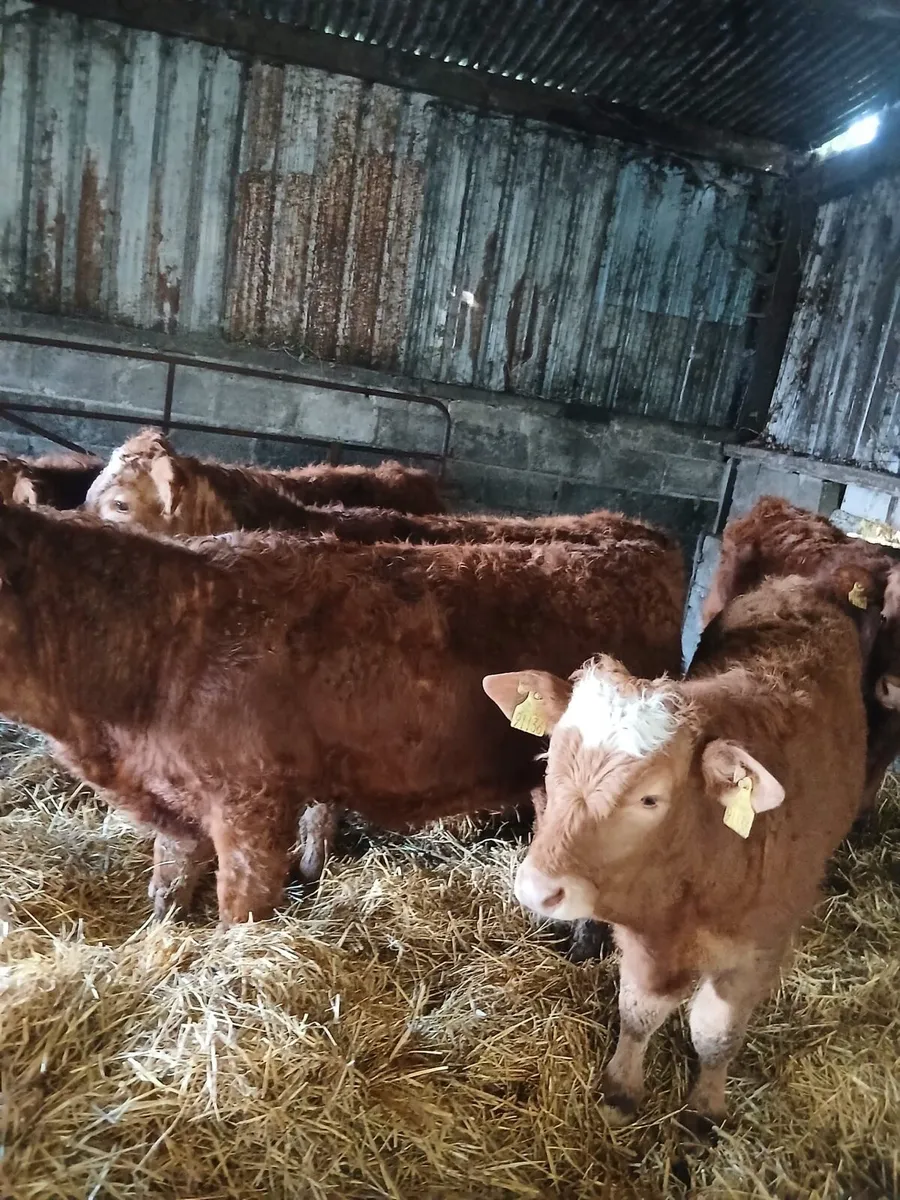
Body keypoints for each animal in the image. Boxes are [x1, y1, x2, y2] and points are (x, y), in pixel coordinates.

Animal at [483, 574, 873, 1130]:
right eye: (549, 758)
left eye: (650, 798)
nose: (539, 889)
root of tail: (796, 583)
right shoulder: (646, 941)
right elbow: (638, 1011)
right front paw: (621, 1088)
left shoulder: (758, 951)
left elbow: (716, 1033)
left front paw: (707, 1107)